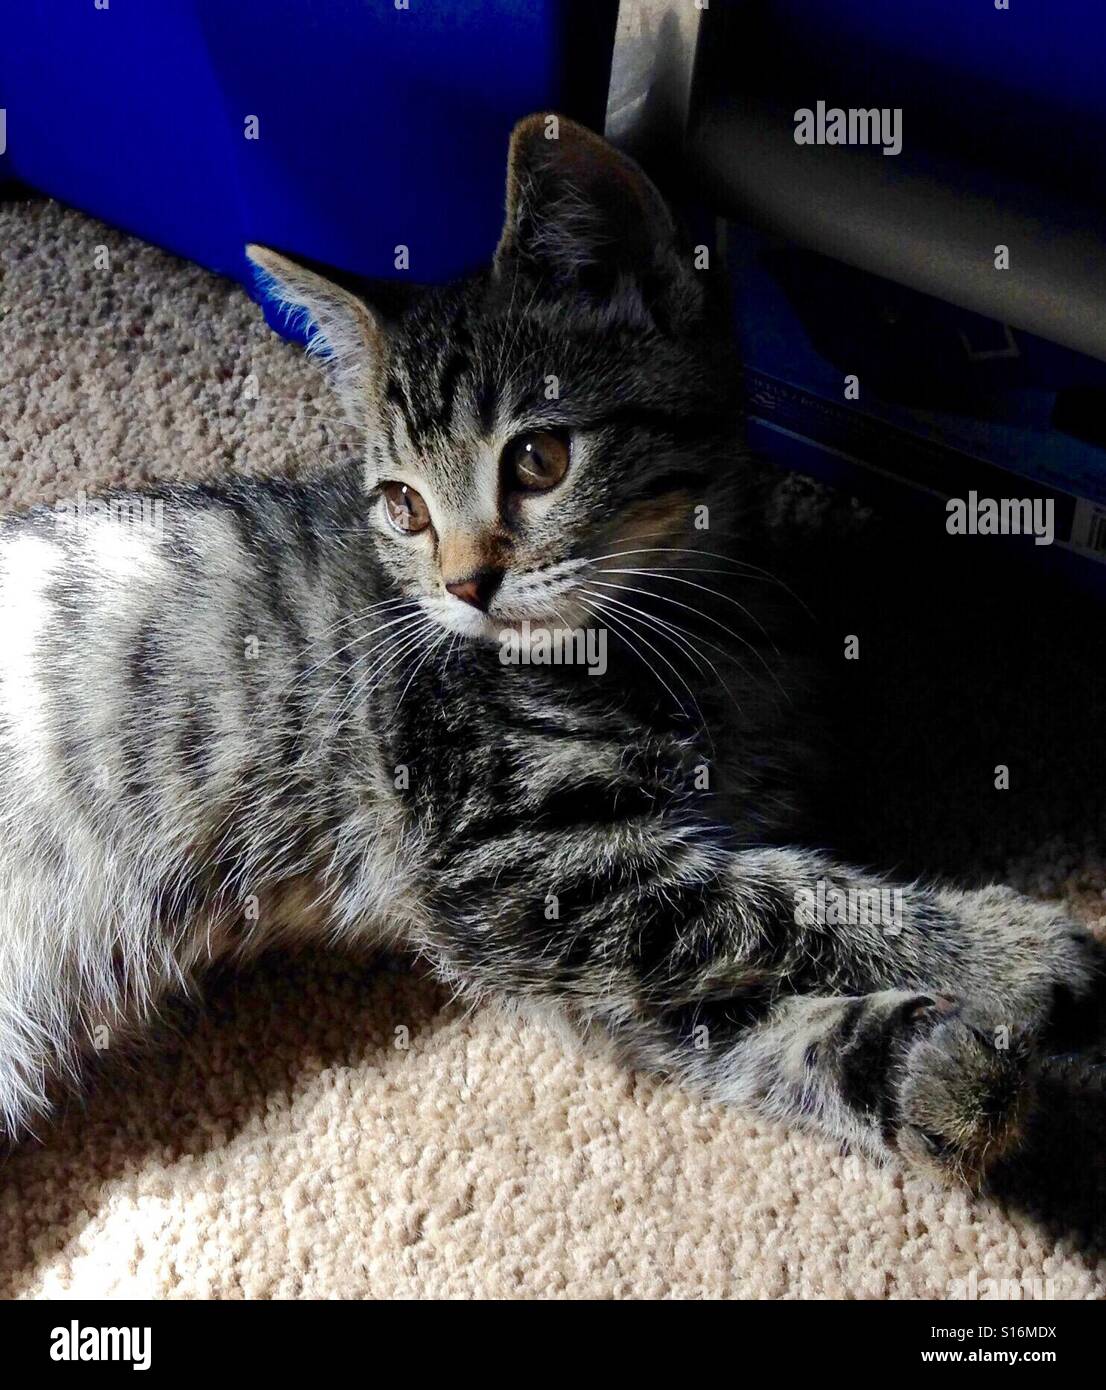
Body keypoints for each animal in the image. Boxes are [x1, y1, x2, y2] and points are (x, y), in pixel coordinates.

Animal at [0, 113, 1094, 1189]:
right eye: (403, 504)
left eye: (537, 459)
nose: (464, 586)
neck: (690, 636)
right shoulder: (514, 872)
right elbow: (776, 901)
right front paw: (1013, 947)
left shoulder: (575, 949)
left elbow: (731, 1015)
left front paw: (933, 1074)